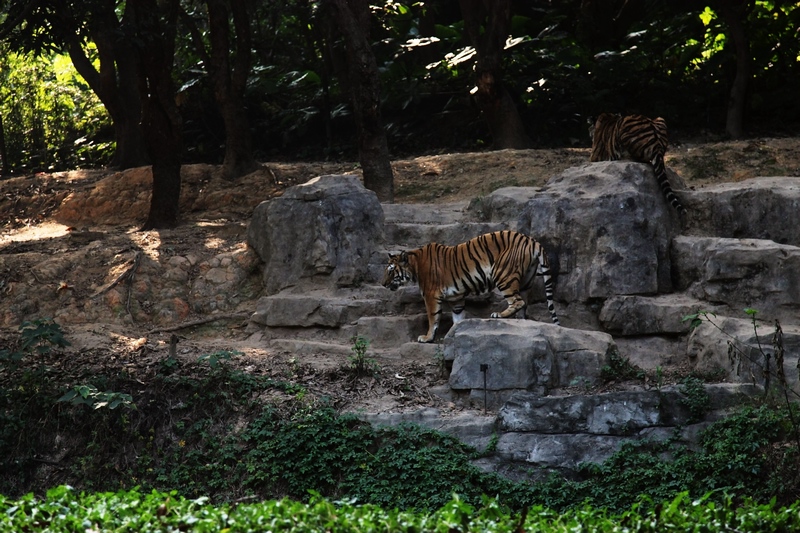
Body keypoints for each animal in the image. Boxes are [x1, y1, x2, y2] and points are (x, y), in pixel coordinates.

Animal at [382, 230, 560, 343]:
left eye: (391, 271)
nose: (383, 284)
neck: (415, 266)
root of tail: (531, 240)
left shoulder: (431, 295)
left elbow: (433, 318)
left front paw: (426, 338)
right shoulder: (456, 299)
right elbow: (458, 318)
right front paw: (453, 334)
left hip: (503, 275)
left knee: (518, 301)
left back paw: (499, 315)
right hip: (525, 282)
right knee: (524, 304)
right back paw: (520, 322)